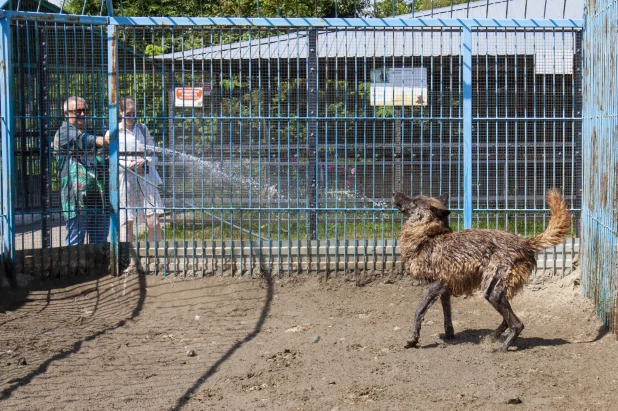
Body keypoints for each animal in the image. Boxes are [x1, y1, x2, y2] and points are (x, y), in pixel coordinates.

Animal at [392, 188, 572, 352]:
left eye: (414, 201)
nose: (394, 192)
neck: (428, 237)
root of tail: (526, 243)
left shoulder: (438, 284)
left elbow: (419, 310)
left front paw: (413, 340)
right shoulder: (444, 289)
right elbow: (447, 315)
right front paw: (449, 335)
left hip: (491, 293)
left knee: (517, 324)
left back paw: (501, 347)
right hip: (497, 292)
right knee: (507, 321)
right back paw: (491, 337)